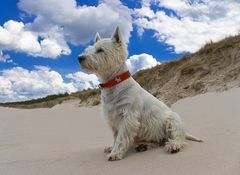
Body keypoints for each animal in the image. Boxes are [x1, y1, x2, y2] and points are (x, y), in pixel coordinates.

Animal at [78, 26, 202, 161]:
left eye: (100, 50)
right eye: (90, 49)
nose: (79, 58)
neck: (113, 83)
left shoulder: (128, 117)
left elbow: (121, 137)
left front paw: (116, 153)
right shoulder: (113, 118)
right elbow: (115, 136)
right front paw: (112, 147)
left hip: (172, 119)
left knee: (177, 136)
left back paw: (173, 145)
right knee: (158, 141)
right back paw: (144, 146)